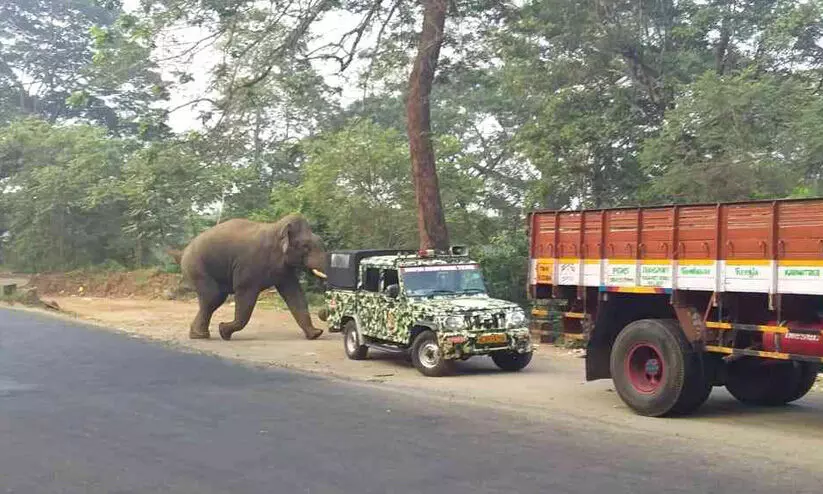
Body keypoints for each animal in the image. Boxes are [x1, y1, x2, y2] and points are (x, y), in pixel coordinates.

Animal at [168, 213, 328, 341]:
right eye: (306, 246)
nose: (323, 314)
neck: (276, 228)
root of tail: (183, 252)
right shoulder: (249, 267)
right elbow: (245, 294)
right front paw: (223, 331)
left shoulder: (284, 270)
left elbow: (295, 294)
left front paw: (315, 334)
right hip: (197, 267)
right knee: (214, 297)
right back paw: (201, 336)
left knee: (214, 299)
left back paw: (200, 335)